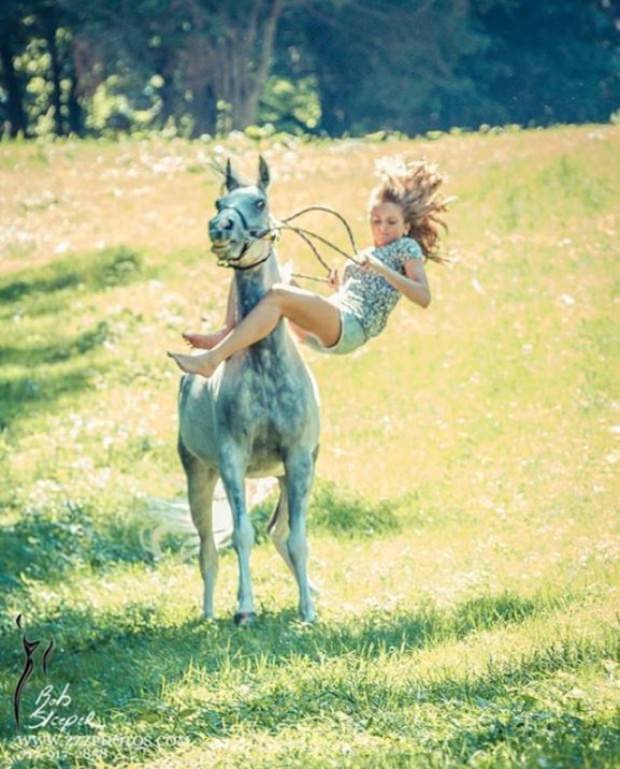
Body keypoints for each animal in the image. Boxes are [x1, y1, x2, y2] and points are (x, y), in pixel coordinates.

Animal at [176, 156, 320, 625]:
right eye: (219, 202)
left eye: (259, 201)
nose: (219, 228)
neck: (267, 369)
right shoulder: (232, 460)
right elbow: (240, 533)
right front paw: (244, 609)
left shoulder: (297, 460)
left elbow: (297, 537)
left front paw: (308, 611)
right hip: (199, 475)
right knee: (207, 548)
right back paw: (208, 614)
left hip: (286, 474)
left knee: (280, 532)